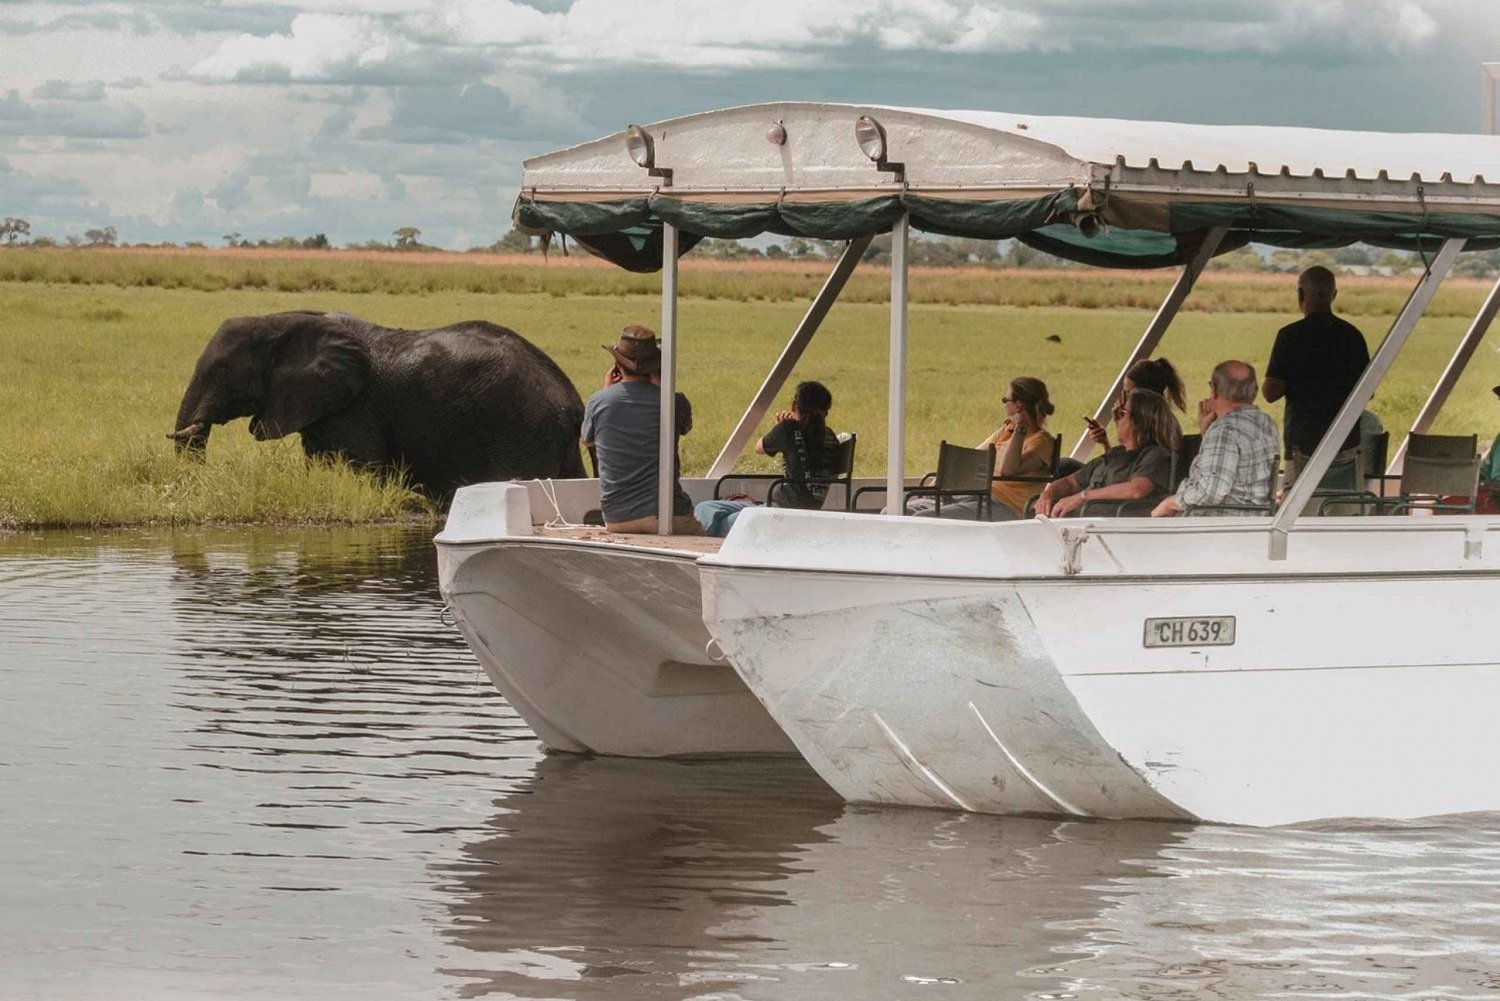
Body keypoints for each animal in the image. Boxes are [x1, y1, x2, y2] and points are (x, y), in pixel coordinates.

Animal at [167, 309, 582, 498]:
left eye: (223, 371)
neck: (281, 320)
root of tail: (572, 402)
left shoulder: (355, 408)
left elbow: (362, 468)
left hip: (522, 430)